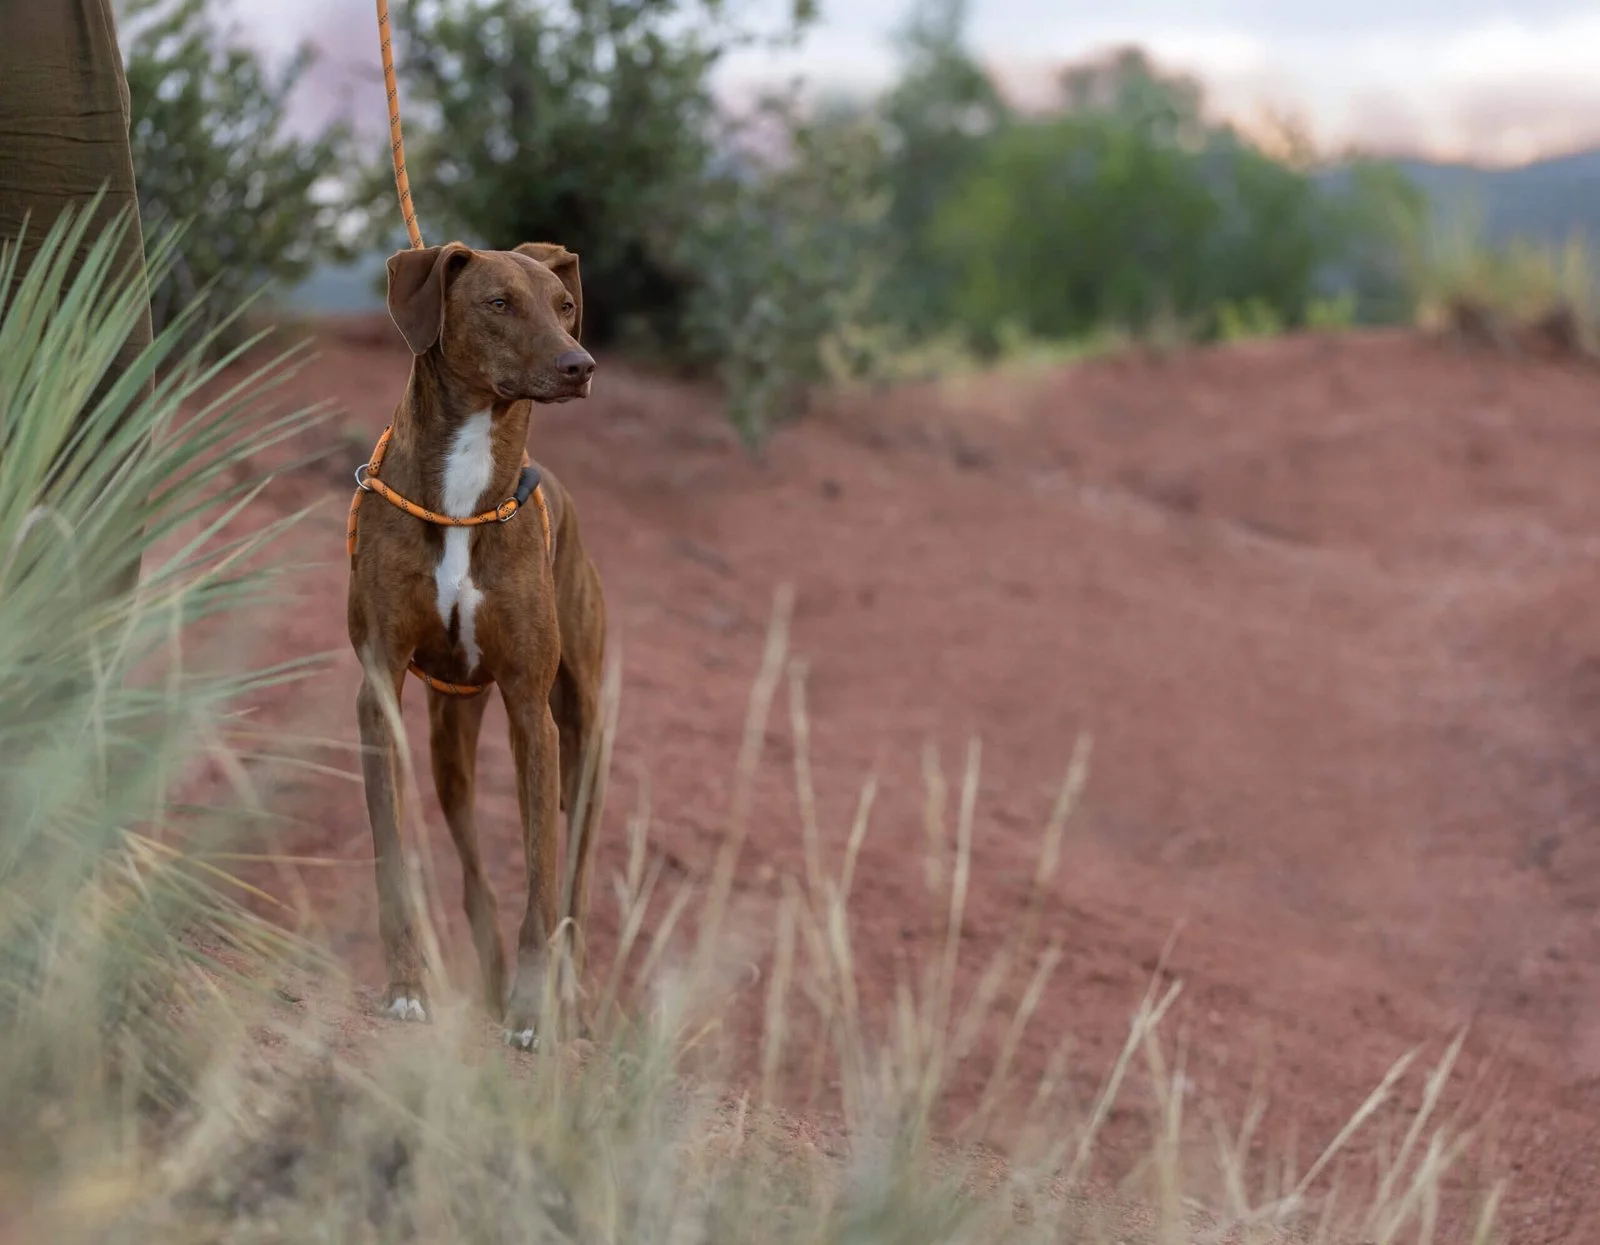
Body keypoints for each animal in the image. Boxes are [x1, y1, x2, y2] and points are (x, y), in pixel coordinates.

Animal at [345, 238, 604, 1043]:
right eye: (498, 303)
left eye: (565, 305)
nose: (581, 365)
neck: (465, 490)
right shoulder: (381, 692)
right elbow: (392, 858)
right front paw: (406, 985)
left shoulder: (531, 713)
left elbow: (543, 878)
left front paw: (531, 1011)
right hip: (450, 737)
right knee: (472, 869)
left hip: (585, 735)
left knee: (574, 877)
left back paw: (570, 996)